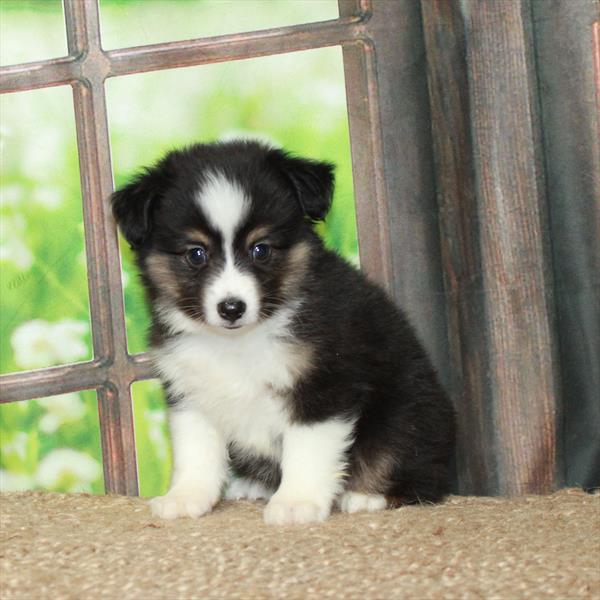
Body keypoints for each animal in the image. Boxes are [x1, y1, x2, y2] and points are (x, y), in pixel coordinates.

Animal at [110, 141, 454, 524]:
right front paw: (185, 497)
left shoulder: (324, 385)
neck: (239, 342)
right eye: (196, 254)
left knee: (415, 469)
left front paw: (296, 503)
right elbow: (195, 449)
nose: (232, 308)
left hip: (406, 415)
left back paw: (368, 496)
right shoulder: (189, 391)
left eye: (260, 249)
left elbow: (307, 449)